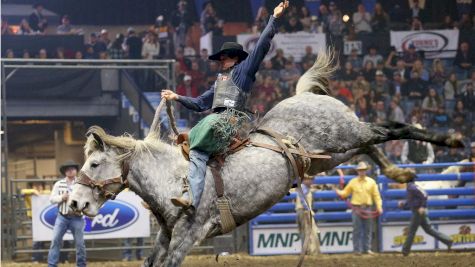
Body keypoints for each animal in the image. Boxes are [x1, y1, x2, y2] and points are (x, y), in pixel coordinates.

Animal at [69, 50, 462, 267]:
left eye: (93, 164)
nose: (73, 202)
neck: (172, 177)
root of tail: (305, 96)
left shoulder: (187, 236)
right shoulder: (165, 237)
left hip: (343, 135)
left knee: (389, 129)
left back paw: (451, 139)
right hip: (329, 154)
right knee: (375, 142)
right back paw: (400, 174)